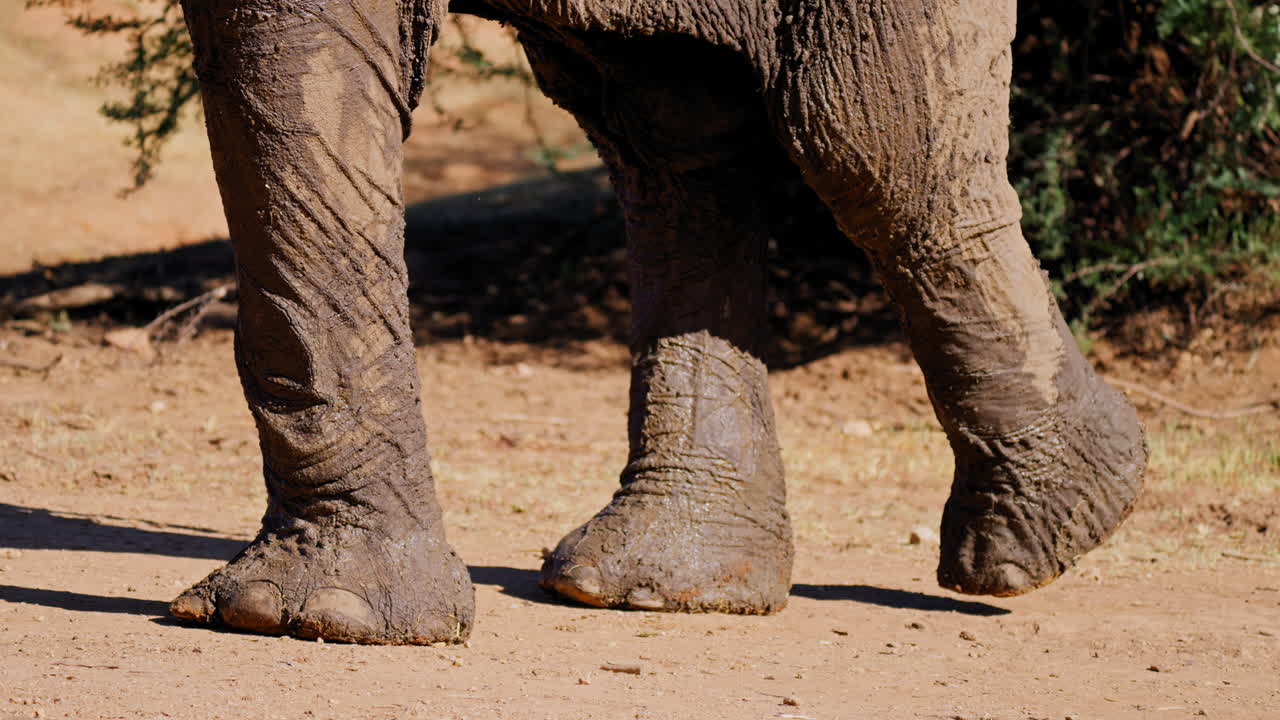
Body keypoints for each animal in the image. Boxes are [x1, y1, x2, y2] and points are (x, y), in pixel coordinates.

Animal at [167, 0, 1148, 645]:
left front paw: (307, 620)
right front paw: (288, 616)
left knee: (860, 134)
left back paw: (1049, 527)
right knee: (668, 119)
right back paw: (654, 588)